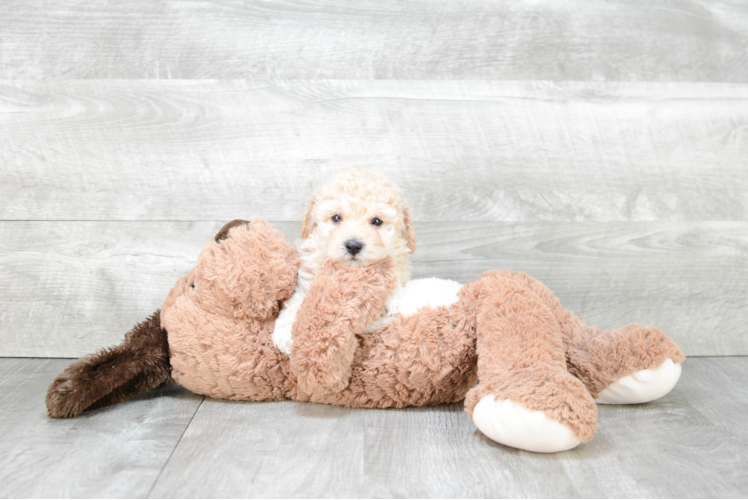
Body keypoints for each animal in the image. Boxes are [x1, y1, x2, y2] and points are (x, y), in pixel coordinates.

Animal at [274, 166, 418, 354]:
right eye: (336, 218)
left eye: (377, 221)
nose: (353, 245)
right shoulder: (308, 281)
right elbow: (298, 302)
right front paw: (286, 334)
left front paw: (393, 298)